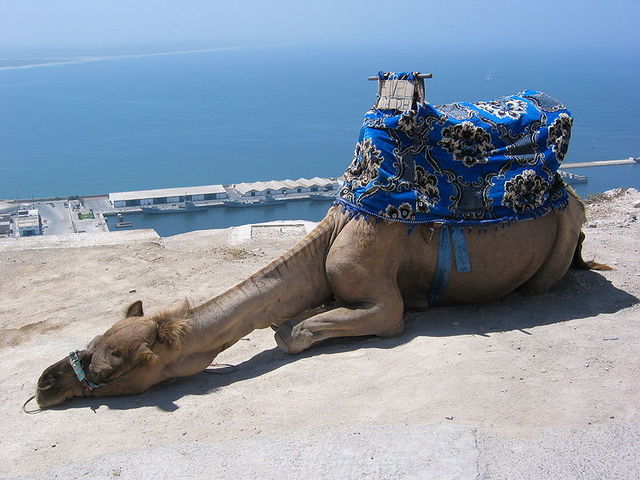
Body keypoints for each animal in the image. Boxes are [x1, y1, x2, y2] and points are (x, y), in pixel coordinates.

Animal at [35, 195, 604, 408]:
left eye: (108, 371)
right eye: (92, 341)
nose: (44, 383)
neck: (327, 242)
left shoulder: (384, 305)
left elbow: (292, 334)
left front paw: (290, 327)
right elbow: (301, 316)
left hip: (560, 238)